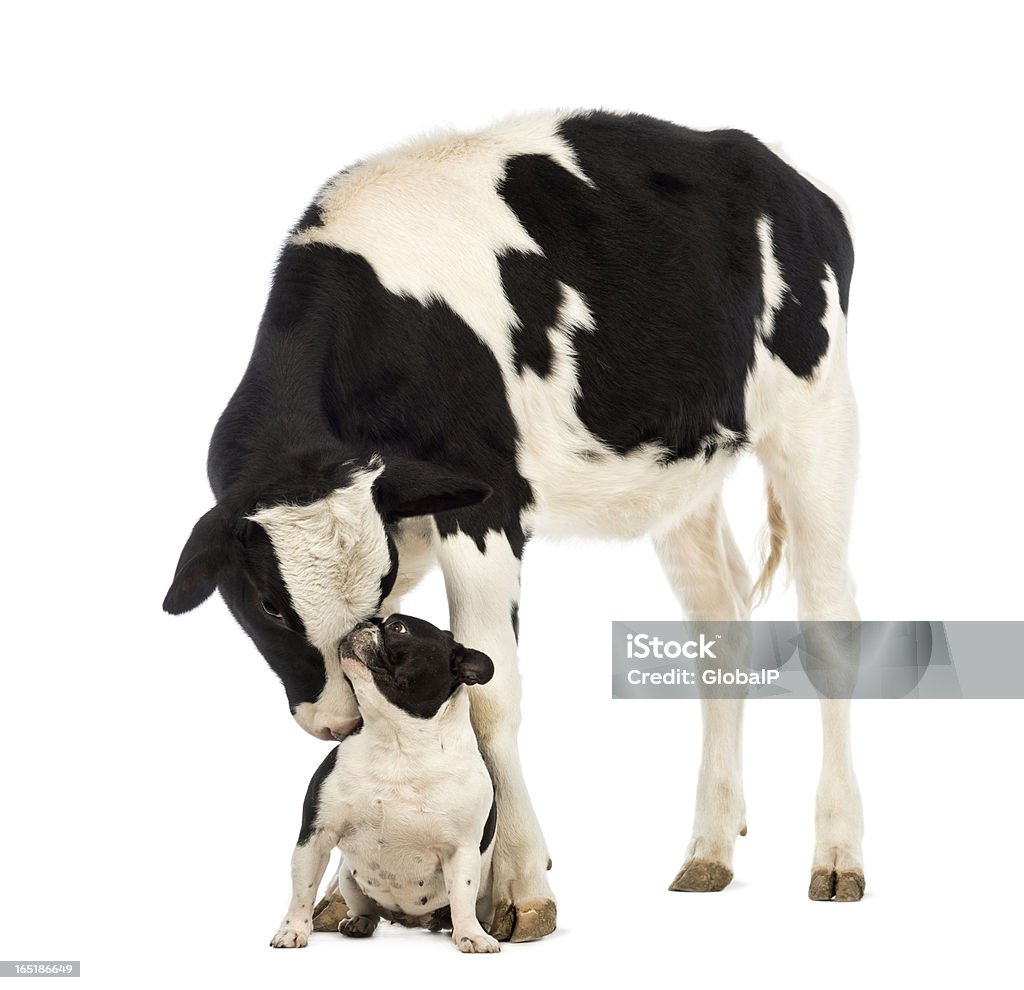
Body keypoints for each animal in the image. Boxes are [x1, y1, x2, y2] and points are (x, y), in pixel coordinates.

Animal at [270, 618, 497, 954]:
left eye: (399, 628)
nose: (360, 623)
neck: (397, 737)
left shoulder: (462, 849)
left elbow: (463, 896)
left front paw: (472, 934)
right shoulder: (316, 835)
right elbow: (303, 889)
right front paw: (293, 929)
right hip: (349, 880)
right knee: (366, 908)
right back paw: (359, 922)